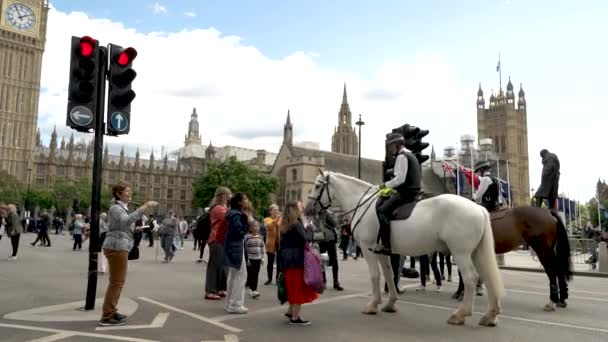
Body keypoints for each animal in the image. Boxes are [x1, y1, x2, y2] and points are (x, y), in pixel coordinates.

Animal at [306, 170, 506, 326]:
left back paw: (460, 314)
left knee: (471, 278)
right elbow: (389, 274)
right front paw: (390, 303)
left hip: (461, 253)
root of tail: (478, 208)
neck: (363, 204)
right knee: (487, 277)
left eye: (317, 186)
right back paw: (490, 316)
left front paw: (373, 305)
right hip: (476, 253)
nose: (308, 209)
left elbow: (375, 276)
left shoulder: (368, 248)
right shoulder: (382, 251)